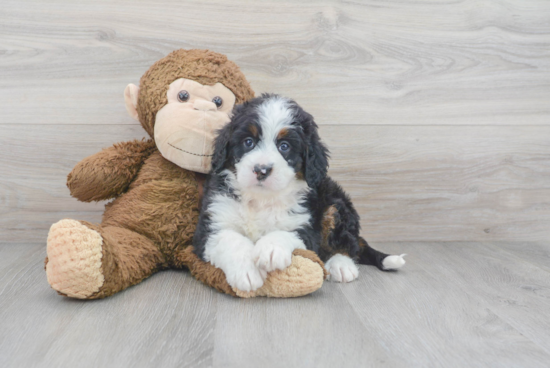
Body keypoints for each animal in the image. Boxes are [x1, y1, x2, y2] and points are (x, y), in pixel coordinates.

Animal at [194, 93, 406, 292]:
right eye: (248, 142)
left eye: (284, 146)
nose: (261, 170)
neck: (261, 199)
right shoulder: (212, 223)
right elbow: (231, 240)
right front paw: (247, 271)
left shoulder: (305, 225)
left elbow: (286, 232)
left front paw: (270, 249)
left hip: (335, 205)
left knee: (348, 243)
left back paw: (342, 265)